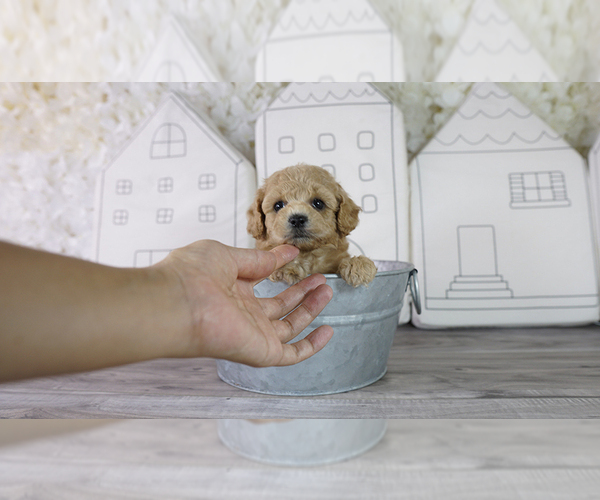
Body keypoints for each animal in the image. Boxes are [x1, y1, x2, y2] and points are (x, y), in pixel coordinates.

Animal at [246, 164, 378, 288]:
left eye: (318, 203)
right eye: (278, 205)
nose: (297, 219)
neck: (306, 253)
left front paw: (358, 265)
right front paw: (286, 266)